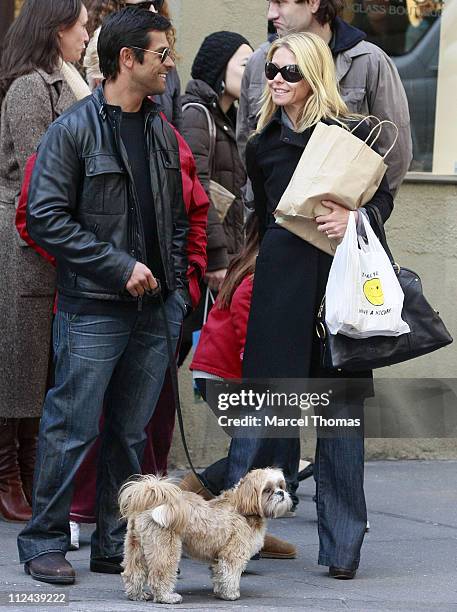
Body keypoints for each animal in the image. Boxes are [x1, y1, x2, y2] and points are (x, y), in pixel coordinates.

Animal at [118, 468, 292, 604]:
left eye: (281, 486)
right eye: (267, 490)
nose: (281, 493)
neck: (243, 508)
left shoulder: (219, 557)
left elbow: (219, 574)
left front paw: (221, 592)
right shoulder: (233, 554)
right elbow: (230, 575)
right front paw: (231, 594)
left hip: (136, 548)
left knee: (133, 573)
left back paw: (137, 595)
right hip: (166, 549)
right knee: (160, 575)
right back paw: (167, 597)